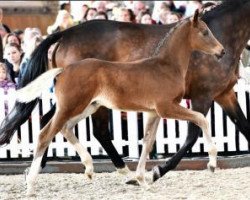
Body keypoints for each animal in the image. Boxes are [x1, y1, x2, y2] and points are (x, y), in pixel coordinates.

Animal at [0, 0, 250, 181]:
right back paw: (119, 169)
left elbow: (244, 126)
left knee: (50, 120)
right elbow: (192, 135)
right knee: (96, 130)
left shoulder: (225, 94)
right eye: (205, 33)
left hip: (81, 101)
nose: (221, 52)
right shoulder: (201, 95)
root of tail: (66, 33)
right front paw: (159, 171)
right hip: (85, 101)